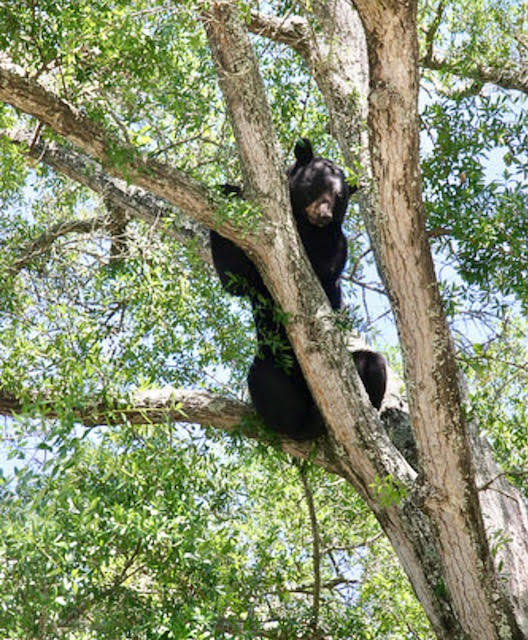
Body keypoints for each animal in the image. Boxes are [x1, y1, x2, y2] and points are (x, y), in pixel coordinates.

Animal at [210, 139, 387, 440]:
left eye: (340, 197)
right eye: (316, 185)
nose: (324, 214)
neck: (305, 228)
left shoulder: (336, 244)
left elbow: (324, 273)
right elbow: (235, 278)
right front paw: (228, 191)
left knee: (374, 363)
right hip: (275, 360)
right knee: (264, 379)